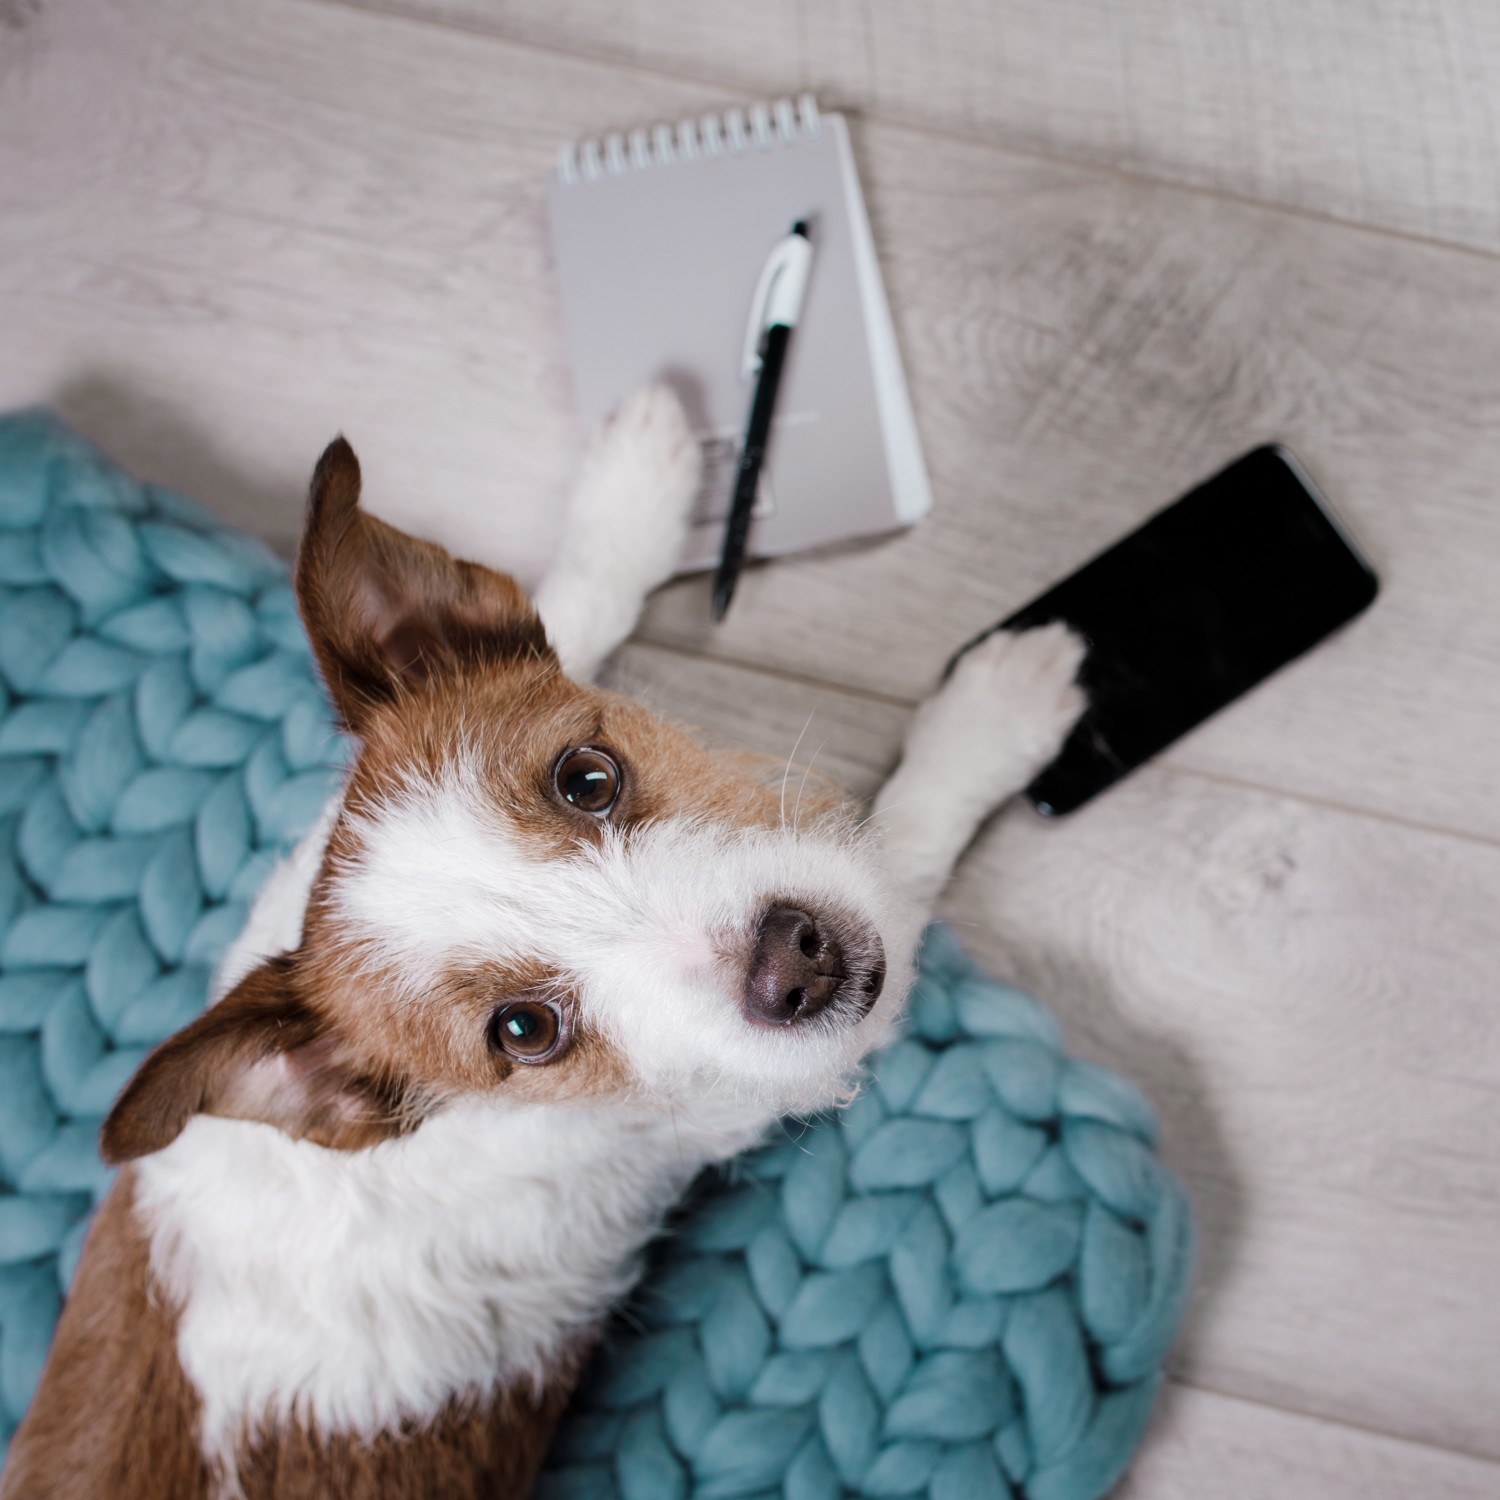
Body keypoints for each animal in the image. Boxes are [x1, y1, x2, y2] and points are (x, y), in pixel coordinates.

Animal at [0, 390, 1080, 1500]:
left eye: (587, 777)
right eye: (526, 1032)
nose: (795, 964)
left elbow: (576, 606)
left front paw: (633, 493)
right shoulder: (754, 1083)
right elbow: (905, 849)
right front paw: (994, 720)